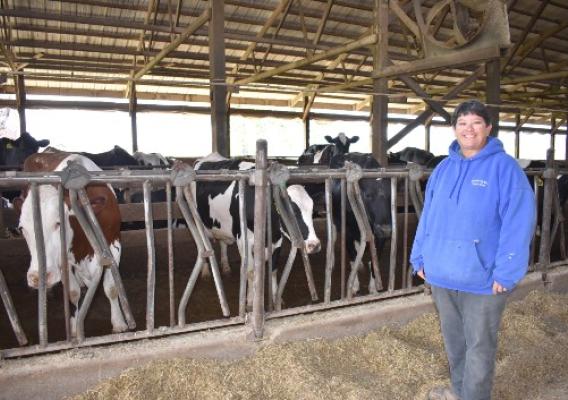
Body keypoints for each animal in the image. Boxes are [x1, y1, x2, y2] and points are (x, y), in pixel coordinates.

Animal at [18, 153, 129, 334]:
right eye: (22, 229)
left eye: (58, 223)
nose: (37, 277)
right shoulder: (64, 262)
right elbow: (73, 293)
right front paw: (75, 327)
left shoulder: (114, 245)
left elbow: (111, 288)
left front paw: (119, 323)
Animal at [194, 155, 320, 304]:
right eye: (292, 211)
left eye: (312, 210)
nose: (314, 245)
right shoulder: (243, 241)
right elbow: (251, 271)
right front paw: (250, 300)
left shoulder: (277, 240)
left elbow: (273, 270)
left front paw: (276, 298)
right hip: (199, 223)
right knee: (203, 244)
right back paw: (205, 272)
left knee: (223, 242)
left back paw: (226, 267)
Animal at [326, 152, 392, 294]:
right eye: (367, 195)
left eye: (391, 196)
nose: (385, 229)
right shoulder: (347, 231)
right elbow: (352, 258)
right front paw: (354, 285)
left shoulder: (380, 235)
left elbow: (374, 260)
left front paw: (374, 287)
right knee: (333, 237)